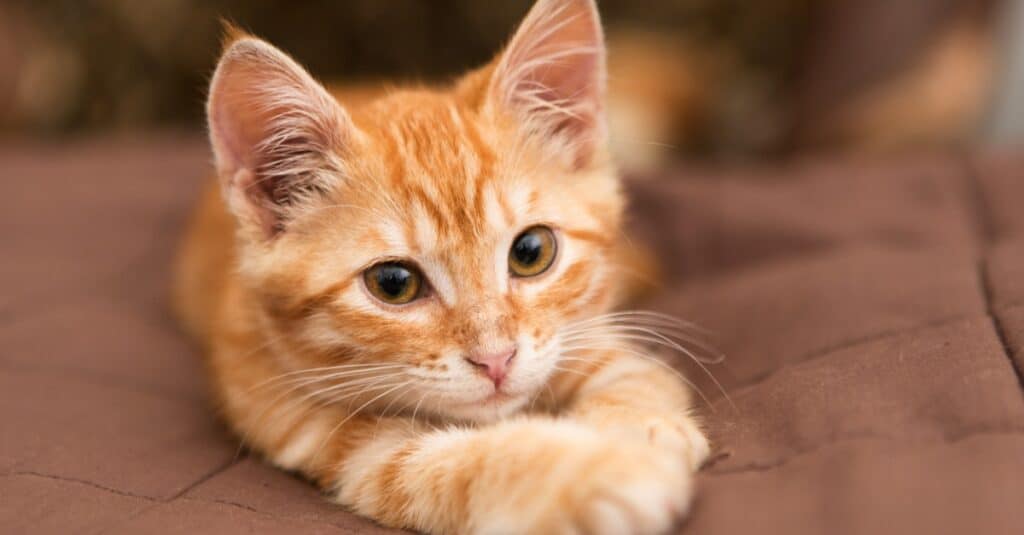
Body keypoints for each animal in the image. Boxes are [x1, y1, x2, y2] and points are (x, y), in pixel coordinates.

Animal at [172, 2, 708, 528]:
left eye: (531, 252)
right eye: (393, 284)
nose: (497, 360)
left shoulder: (587, 337)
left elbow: (636, 377)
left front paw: (641, 429)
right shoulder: (324, 432)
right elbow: (457, 464)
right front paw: (607, 471)